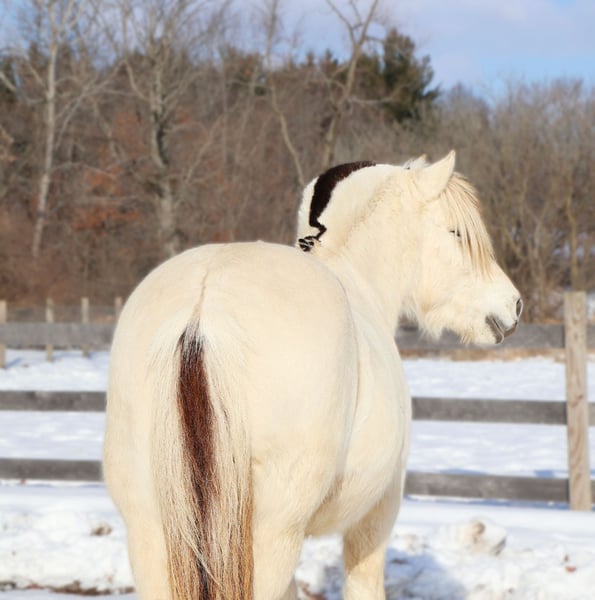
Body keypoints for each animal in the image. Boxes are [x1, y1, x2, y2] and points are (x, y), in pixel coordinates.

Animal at [103, 151, 522, 600]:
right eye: (457, 233)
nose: (513, 305)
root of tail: (204, 308)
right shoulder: (376, 514)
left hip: (152, 532)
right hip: (271, 537)